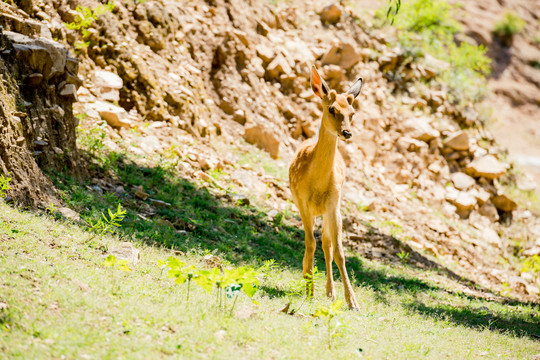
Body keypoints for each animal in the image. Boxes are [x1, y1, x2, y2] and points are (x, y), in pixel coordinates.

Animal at [286, 65, 362, 310]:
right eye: (331, 108)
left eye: (352, 113)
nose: (347, 132)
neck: (317, 183)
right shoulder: (302, 203)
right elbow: (310, 243)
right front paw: (309, 291)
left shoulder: (334, 204)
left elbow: (338, 251)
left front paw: (352, 301)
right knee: (315, 242)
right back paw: (308, 277)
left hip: (330, 211)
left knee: (327, 245)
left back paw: (330, 292)